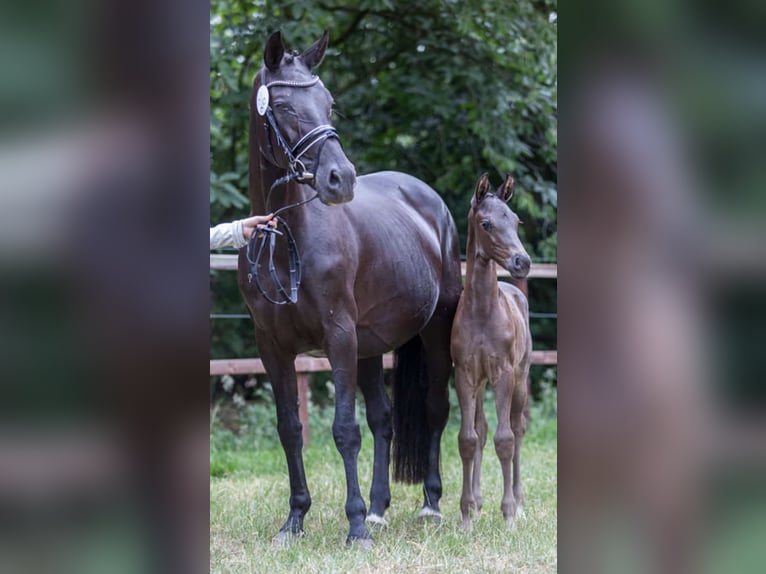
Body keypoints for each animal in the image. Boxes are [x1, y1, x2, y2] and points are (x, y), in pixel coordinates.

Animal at [237, 32, 462, 548]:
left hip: (435, 332)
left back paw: (429, 505)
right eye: (282, 104)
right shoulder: (271, 346)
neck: (287, 238)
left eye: (329, 103)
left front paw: (355, 526)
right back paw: (380, 508)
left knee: (435, 409)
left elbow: (345, 430)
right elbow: (290, 429)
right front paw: (295, 520)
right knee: (384, 420)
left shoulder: (338, 336)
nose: (341, 179)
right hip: (371, 347)